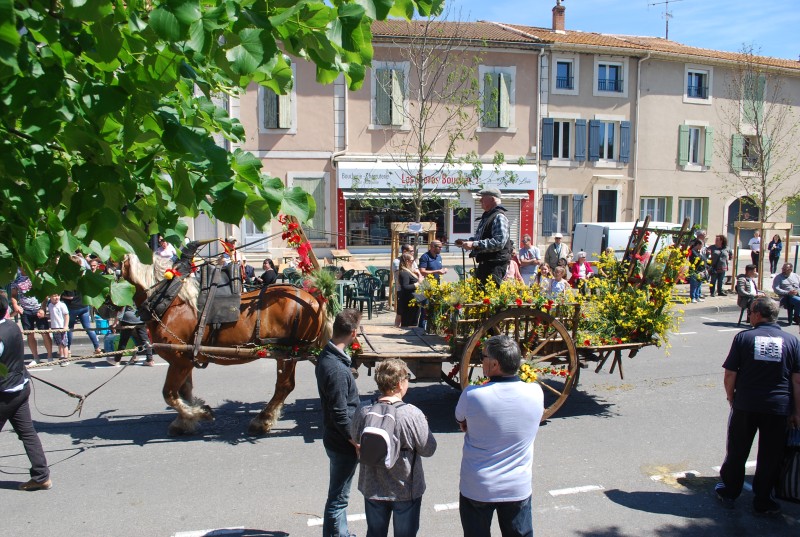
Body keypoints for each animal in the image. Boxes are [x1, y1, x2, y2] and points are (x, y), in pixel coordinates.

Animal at [119, 253, 332, 434]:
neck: (171, 301)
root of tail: (314, 298)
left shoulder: (179, 360)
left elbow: (170, 394)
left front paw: (198, 413)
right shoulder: (186, 360)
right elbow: (184, 391)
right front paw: (187, 419)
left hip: (287, 352)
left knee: (284, 386)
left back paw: (262, 420)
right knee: (285, 386)